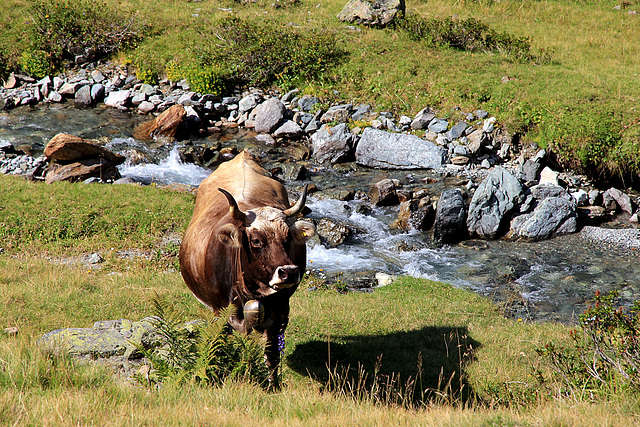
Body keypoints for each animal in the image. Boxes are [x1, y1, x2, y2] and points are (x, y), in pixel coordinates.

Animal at [179, 151, 316, 388]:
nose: (289, 272)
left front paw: (273, 385)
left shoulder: (282, 311)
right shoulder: (220, 311)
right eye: (256, 241)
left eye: (288, 238)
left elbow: (272, 353)